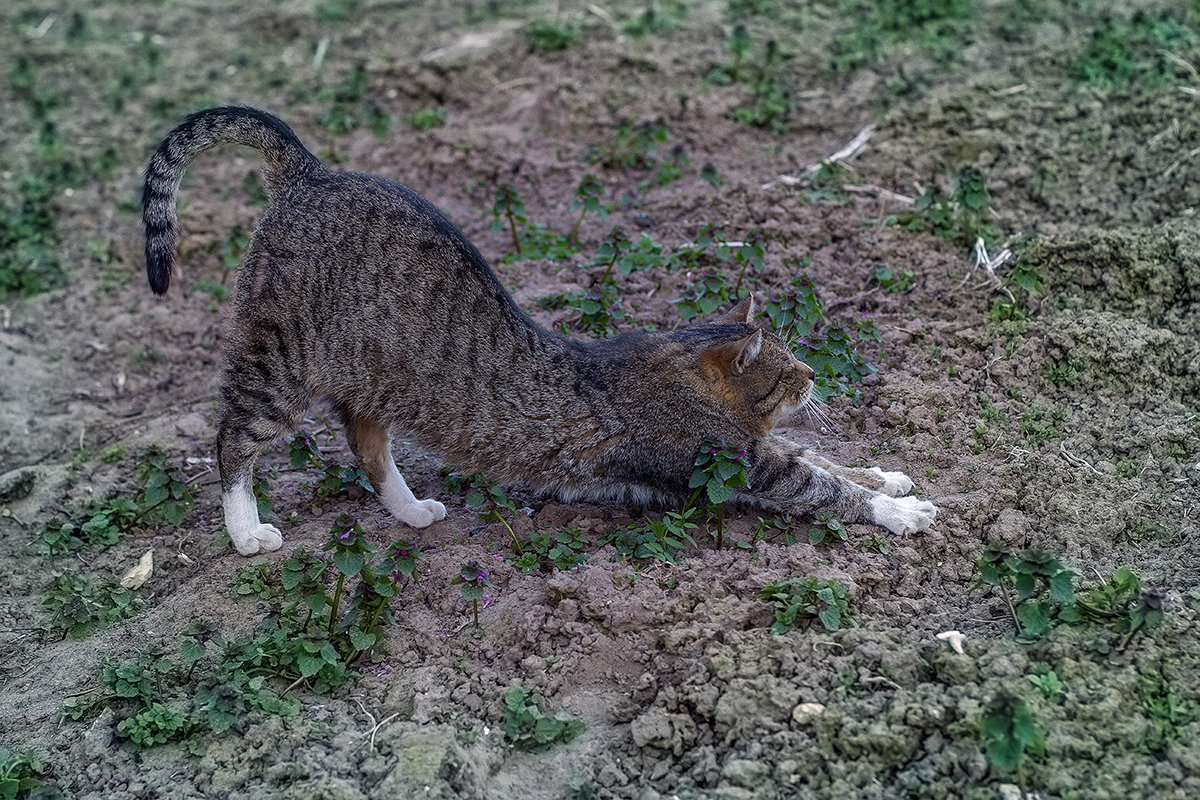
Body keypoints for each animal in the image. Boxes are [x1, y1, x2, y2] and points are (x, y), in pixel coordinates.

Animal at [142, 104, 936, 556]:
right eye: (789, 368)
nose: (815, 375)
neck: (676, 365)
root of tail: (311, 173)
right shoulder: (733, 466)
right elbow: (821, 485)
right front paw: (897, 511)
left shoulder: (756, 449)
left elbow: (830, 460)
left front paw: (888, 474)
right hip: (280, 357)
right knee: (233, 438)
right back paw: (245, 530)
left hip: (374, 375)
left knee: (367, 445)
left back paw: (412, 510)